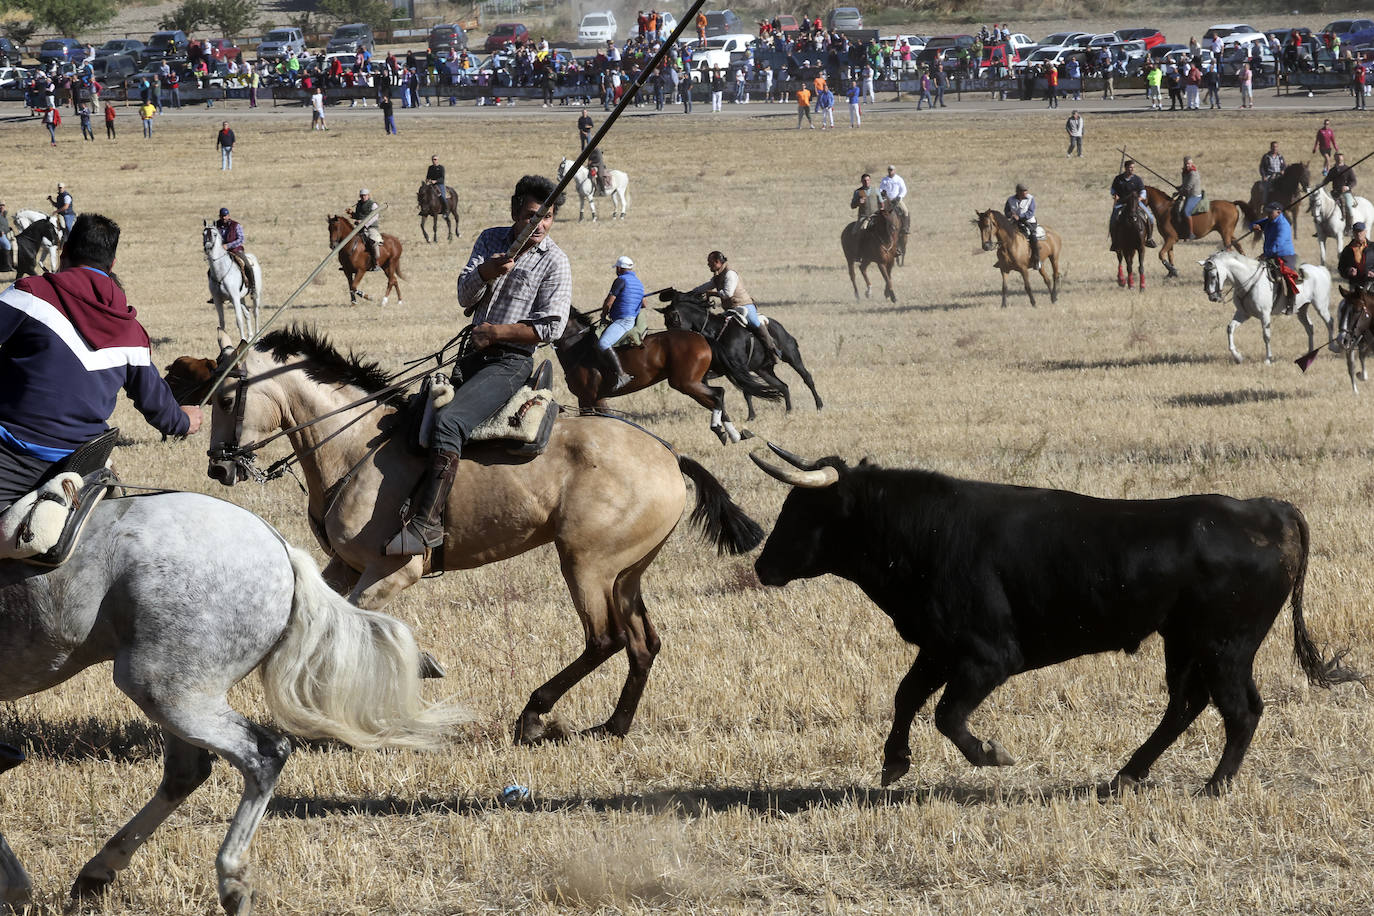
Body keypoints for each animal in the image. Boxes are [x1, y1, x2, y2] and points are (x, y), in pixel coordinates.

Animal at [0, 494, 467, 916]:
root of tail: (281, 550)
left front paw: (16, 889)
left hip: (165, 689)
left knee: (262, 755)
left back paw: (232, 882)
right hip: (179, 692)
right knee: (187, 774)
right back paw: (98, 872)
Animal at [204, 325, 769, 741]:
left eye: (228, 398)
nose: (218, 468)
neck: (356, 446)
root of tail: (670, 455)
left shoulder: (394, 570)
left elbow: (357, 619)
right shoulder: (345, 564)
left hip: (586, 563)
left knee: (604, 639)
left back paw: (534, 715)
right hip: (627, 572)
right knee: (642, 642)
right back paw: (612, 725)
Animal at [552, 307, 780, 444]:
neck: (578, 347)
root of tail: (702, 338)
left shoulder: (588, 397)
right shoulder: (596, 398)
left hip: (685, 383)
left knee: (717, 394)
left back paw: (720, 429)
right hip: (691, 383)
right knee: (718, 395)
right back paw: (732, 434)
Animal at [659, 289, 818, 422]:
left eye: (674, 319)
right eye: (666, 322)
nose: (670, 343)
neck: (716, 332)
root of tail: (779, 327)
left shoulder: (740, 369)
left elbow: (747, 390)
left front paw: (751, 417)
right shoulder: (725, 370)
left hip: (792, 357)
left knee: (807, 377)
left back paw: (819, 405)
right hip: (764, 370)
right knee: (783, 386)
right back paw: (788, 411)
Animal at [752, 450, 1363, 796]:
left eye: (804, 511)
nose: (761, 565)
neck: (924, 529)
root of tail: (1267, 509)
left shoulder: (987, 656)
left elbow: (947, 714)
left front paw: (991, 754)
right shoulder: (939, 647)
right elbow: (907, 696)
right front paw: (894, 763)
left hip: (1225, 646)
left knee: (1240, 711)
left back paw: (1213, 787)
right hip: (1185, 643)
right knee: (1187, 705)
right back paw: (1127, 774)